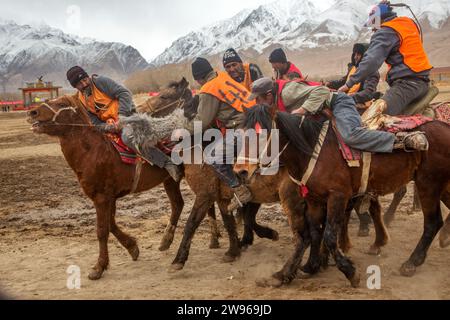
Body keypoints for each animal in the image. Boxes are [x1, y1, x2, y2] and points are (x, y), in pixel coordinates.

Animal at [239, 104, 450, 288]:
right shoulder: (314, 199)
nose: (240, 170)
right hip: (442, 186)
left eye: (261, 134)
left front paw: (350, 271)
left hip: (428, 184)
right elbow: (313, 232)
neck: (313, 151)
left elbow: (329, 236)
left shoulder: (337, 197)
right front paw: (302, 268)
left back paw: (411, 262)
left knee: (433, 223)